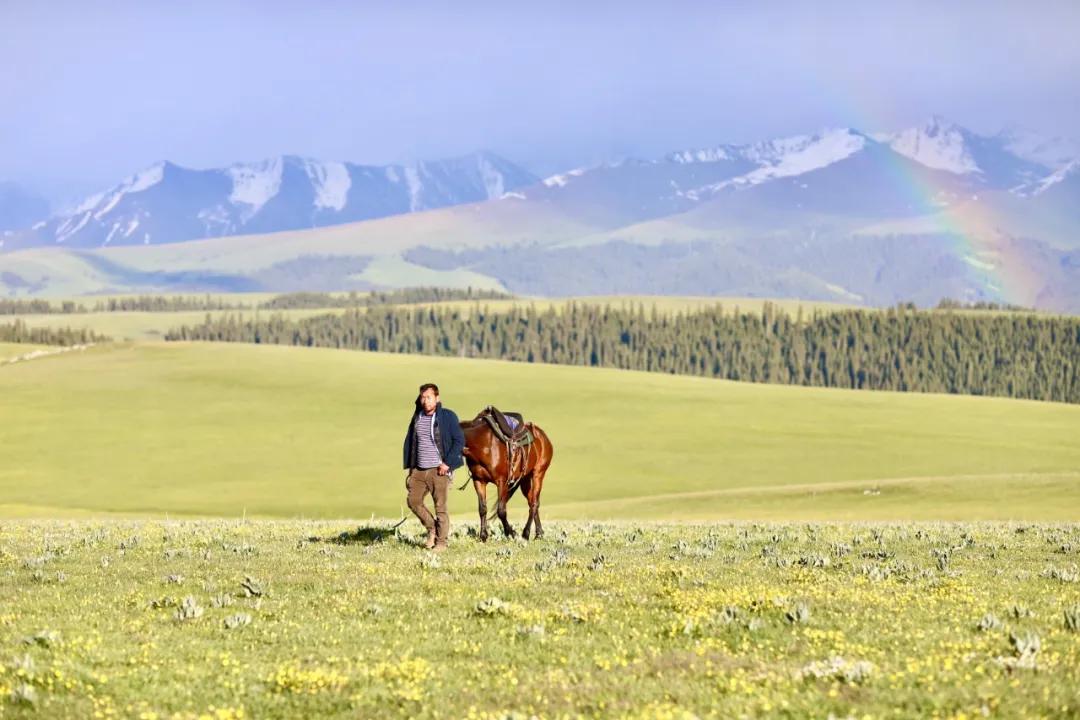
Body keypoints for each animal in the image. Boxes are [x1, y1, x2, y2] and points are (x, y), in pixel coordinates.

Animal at [457, 410, 552, 539]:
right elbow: (482, 509)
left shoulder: (501, 481)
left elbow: (501, 511)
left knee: (534, 503)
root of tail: (543, 436)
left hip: (538, 473)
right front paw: (483, 535)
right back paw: (539, 533)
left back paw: (526, 533)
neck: (483, 445)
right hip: (525, 479)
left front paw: (510, 533)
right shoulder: (478, 481)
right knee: (531, 501)